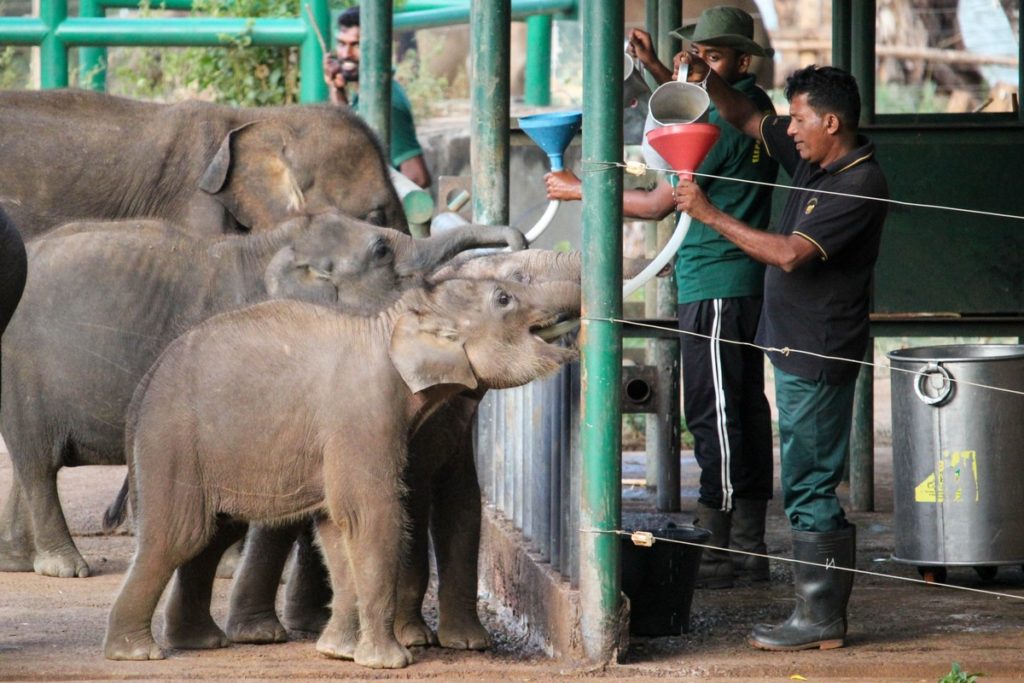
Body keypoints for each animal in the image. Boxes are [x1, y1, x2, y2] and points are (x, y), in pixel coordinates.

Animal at [0, 211, 524, 577]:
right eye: (380, 251)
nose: (518, 243)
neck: (275, 241)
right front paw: (230, 566)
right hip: (21, 366)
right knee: (37, 461)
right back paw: (65, 566)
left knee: (28, 464)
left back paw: (20, 561)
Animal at [105, 276, 585, 667]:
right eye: (504, 298)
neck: (393, 322)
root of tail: (144, 383)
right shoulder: (364, 417)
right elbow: (372, 515)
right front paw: (389, 662)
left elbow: (336, 528)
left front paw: (339, 651)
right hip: (172, 443)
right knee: (179, 536)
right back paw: (136, 653)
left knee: (213, 534)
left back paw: (201, 642)